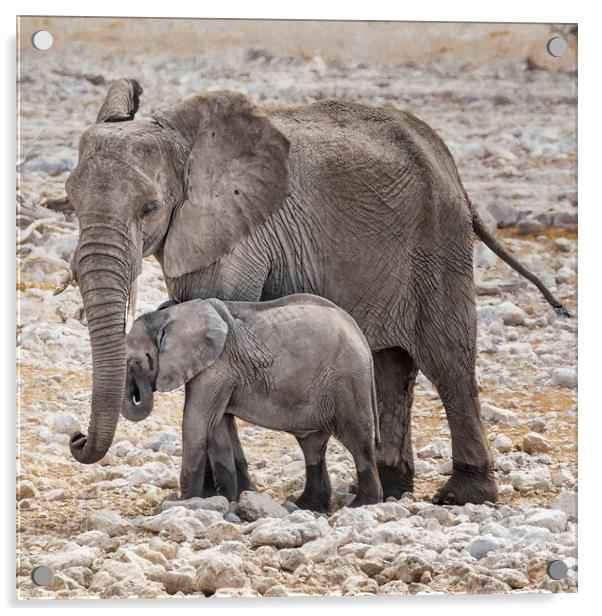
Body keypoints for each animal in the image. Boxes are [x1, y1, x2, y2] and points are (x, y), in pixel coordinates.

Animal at [122, 294, 380, 510]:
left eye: (136, 361)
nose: (138, 371)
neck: (170, 316)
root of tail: (361, 337)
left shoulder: (216, 366)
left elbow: (196, 424)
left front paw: (182, 503)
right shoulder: (219, 371)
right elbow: (217, 428)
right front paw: (227, 501)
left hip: (347, 383)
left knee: (358, 441)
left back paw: (362, 504)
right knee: (313, 445)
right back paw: (308, 506)